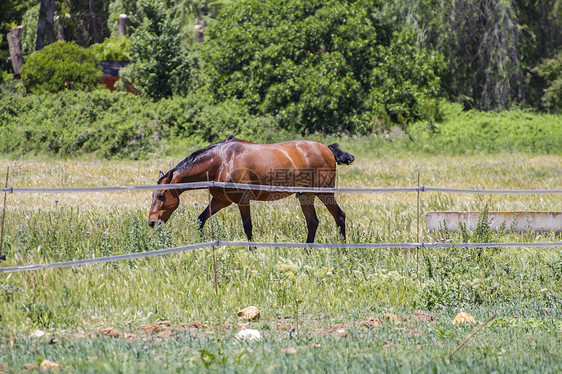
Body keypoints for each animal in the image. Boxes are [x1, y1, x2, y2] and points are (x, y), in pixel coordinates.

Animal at [147, 136, 352, 244]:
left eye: (162, 195)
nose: (152, 222)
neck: (221, 162)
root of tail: (327, 149)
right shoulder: (220, 201)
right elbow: (201, 219)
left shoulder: (242, 201)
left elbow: (248, 227)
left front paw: (252, 250)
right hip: (306, 196)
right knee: (313, 222)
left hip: (324, 193)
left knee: (339, 216)